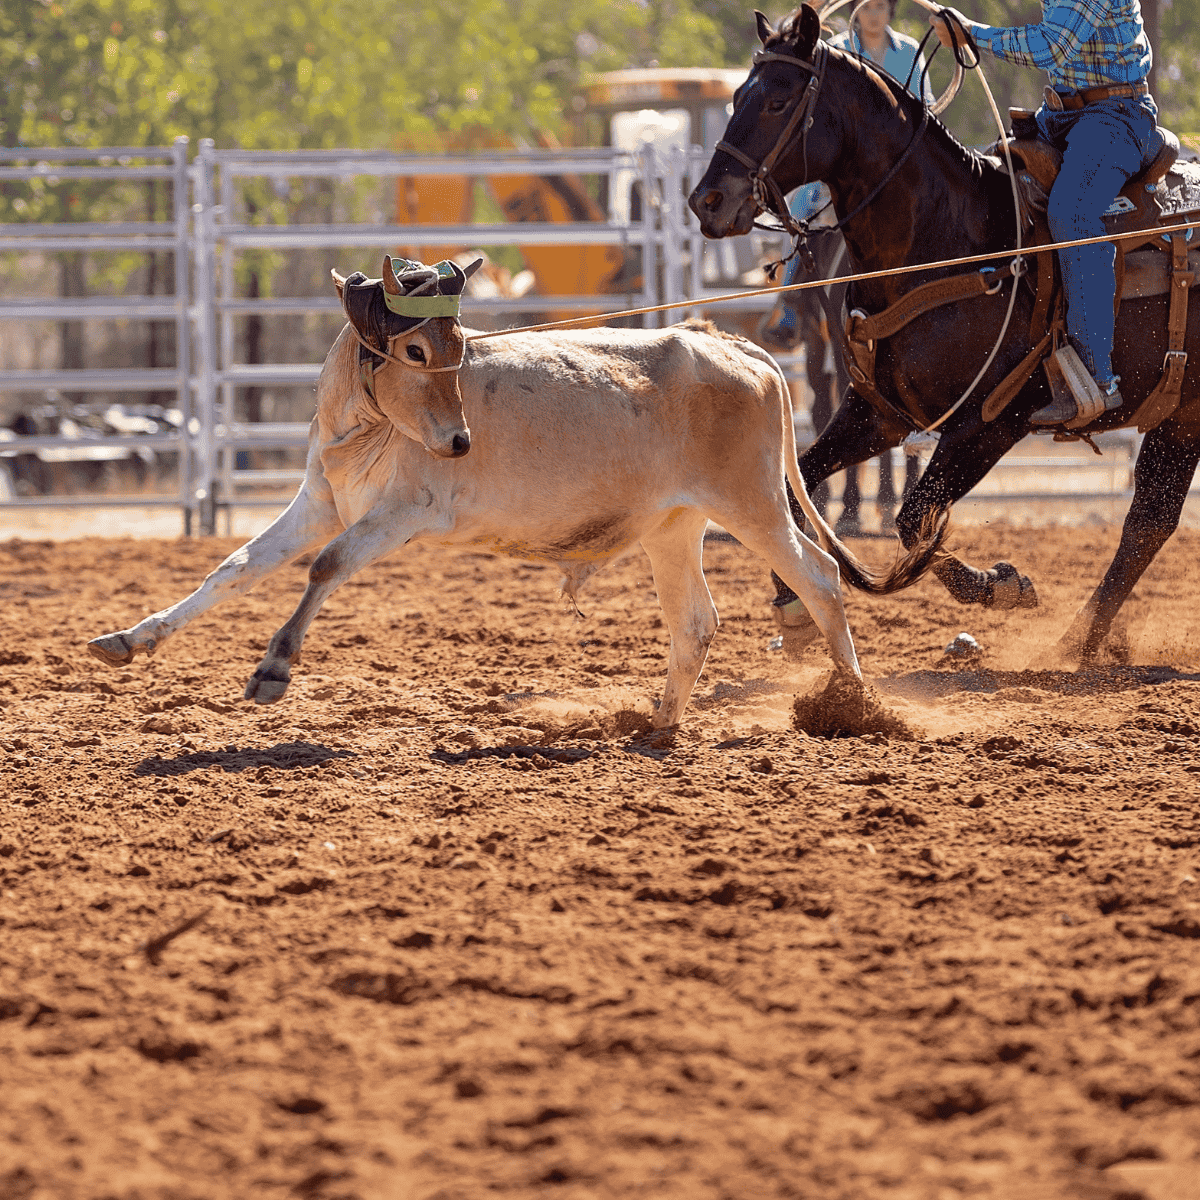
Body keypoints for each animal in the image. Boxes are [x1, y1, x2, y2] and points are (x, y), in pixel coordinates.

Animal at [88, 256, 940, 724]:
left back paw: (855, 707)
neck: (365, 426)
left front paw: (273, 670)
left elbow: (324, 568)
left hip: (752, 503)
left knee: (819, 576)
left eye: (461, 345)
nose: (461, 442)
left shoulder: (403, 515)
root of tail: (736, 348)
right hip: (675, 525)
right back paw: (658, 720)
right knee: (697, 621)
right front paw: (130, 639)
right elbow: (232, 569)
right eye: (415, 348)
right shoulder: (320, 505)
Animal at [691, 4, 1200, 662]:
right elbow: (792, 484)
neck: (947, 237)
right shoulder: (879, 413)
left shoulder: (992, 421)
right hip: (1180, 411)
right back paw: (1073, 645)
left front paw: (1001, 584)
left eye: (778, 101)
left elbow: (915, 522)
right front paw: (792, 605)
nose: (707, 201)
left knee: (1146, 522)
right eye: (736, 97)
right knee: (1149, 523)